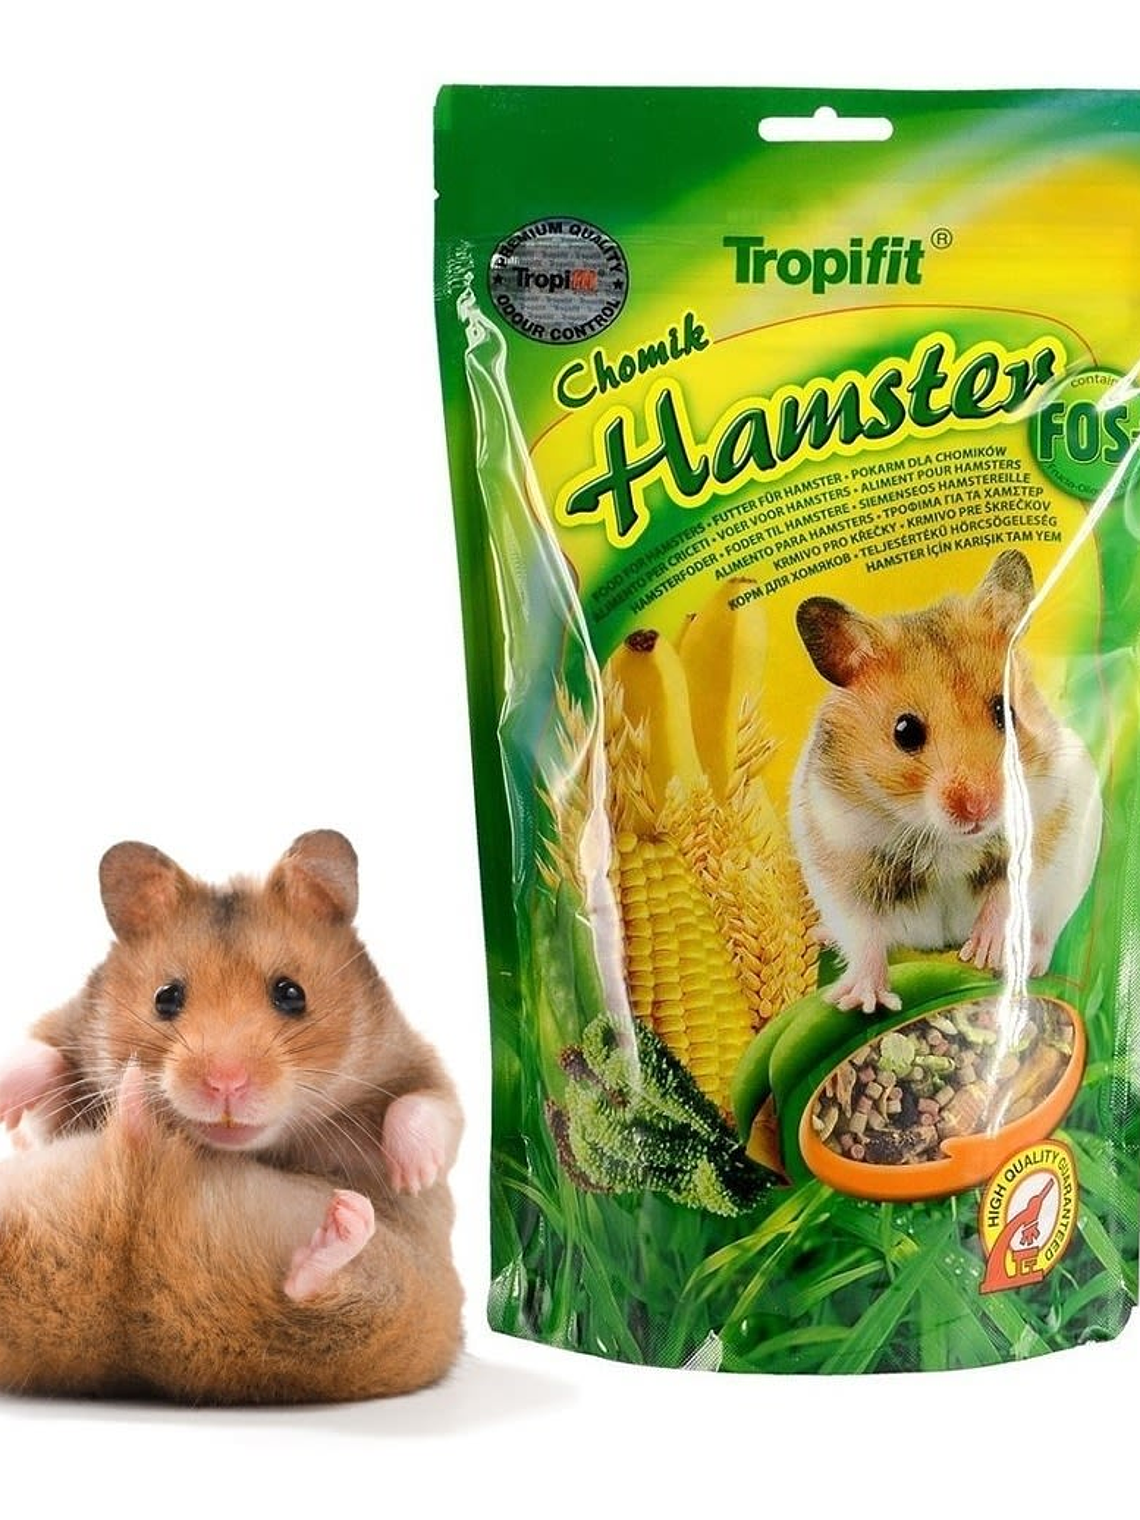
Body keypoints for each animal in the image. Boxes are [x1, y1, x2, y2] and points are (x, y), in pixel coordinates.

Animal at [0, 831, 462, 1247]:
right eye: (166, 998)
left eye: (291, 994)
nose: (225, 1084)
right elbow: (43, 1069)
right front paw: (7, 1106)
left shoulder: (410, 1059)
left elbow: (428, 1107)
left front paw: (412, 1177)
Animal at [790, 551, 1102, 1013]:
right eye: (904, 731)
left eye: (1004, 710)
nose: (978, 808)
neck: (949, 841)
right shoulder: (839, 855)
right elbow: (862, 933)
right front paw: (862, 1002)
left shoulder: (1047, 818)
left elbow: (1009, 891)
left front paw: (984, 953)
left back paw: (1027, 964)